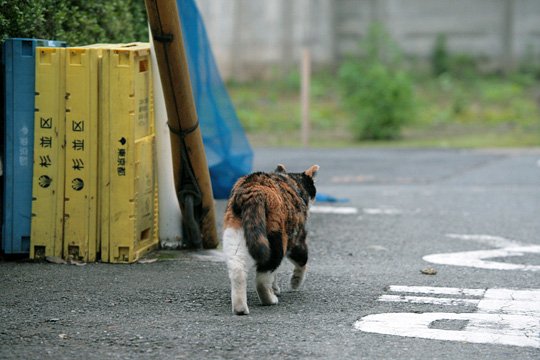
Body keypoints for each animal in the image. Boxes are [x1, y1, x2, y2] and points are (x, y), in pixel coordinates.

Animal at [223, 165, 318, 314]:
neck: (293, 183)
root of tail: (254, 189)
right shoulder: (297, 239)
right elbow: (302, 262)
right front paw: (295, 282)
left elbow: (274, 275)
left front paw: (275, 288)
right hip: (276, 241)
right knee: (262, 278)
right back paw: (270, 300)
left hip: (235, 236)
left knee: (238, 270)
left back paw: (240, 308)